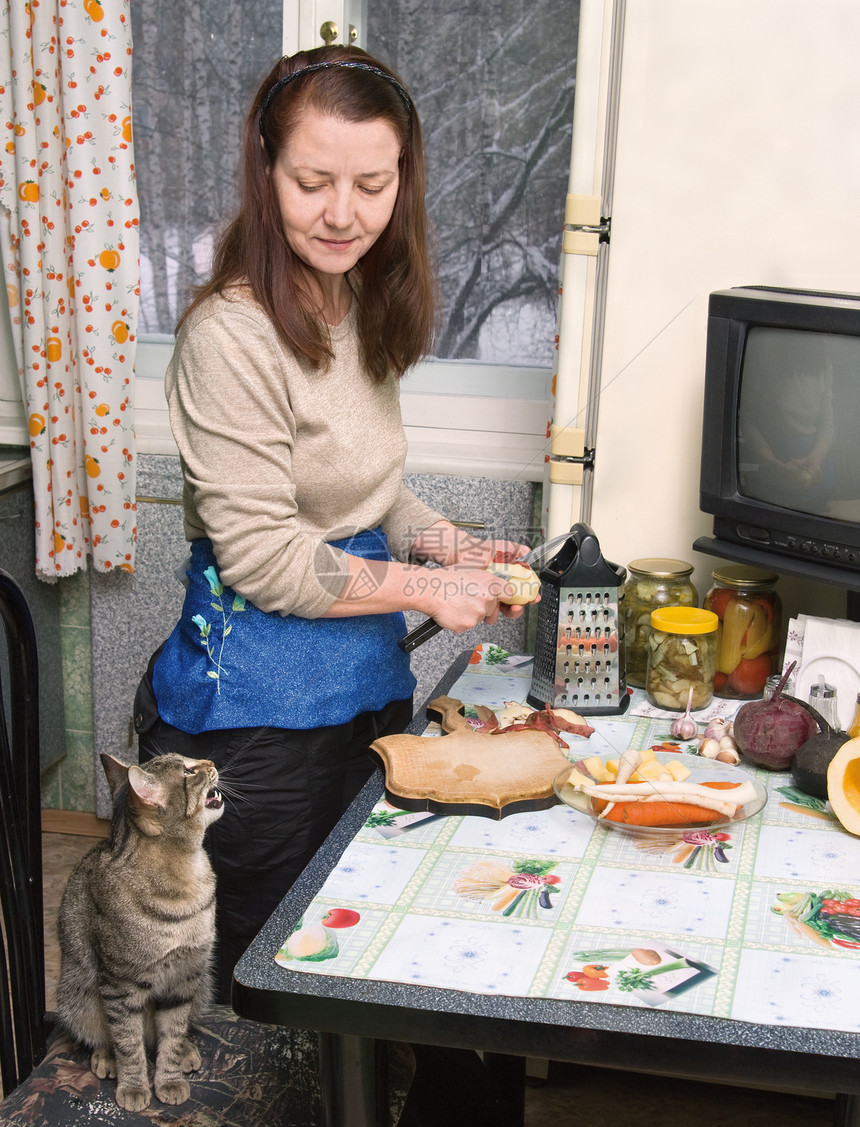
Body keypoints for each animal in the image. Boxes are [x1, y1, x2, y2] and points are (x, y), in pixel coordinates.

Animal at [56, 752, 223, 1113]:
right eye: (188, 770)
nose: (210, 760)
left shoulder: (184, 977)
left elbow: (173, 1033)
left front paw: (170, 1077)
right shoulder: (121, 987)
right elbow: (128, 1044)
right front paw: (133, 1086)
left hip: (203, 984)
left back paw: (186, 1050)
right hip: (77, 993)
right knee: (105, 1036)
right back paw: (106, 1058)